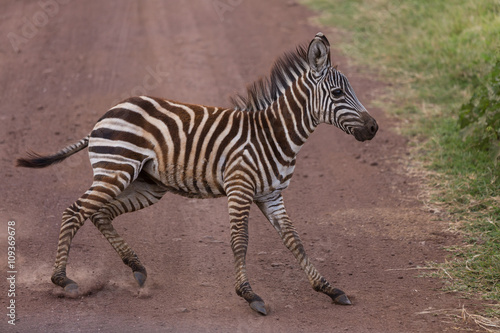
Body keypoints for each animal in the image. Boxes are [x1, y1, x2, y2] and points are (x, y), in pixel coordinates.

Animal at [17, 33, 378, 314]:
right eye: (337, 94)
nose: (374, 128)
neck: (274, 135)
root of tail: (105, 115)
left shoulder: (271, 194)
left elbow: (294, 240)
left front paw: (328, 288)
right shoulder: (240, 188)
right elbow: (239, 240)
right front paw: (249, 295)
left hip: (147, 185)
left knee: (100, 214)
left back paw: (137, 269)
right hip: (116, 171)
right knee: (74, 212)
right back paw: (63, 280)